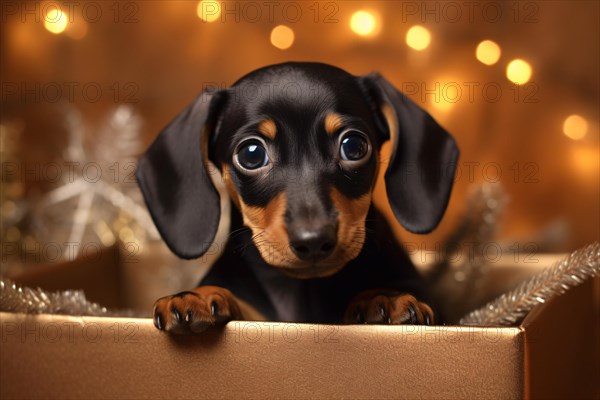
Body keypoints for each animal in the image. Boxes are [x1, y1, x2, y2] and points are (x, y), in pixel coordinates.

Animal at [136, 61, 460, 332]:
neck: (302, 290)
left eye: (353, 146)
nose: (314, 240)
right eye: (251, 154)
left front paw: (382, 297)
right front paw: (198, 296)